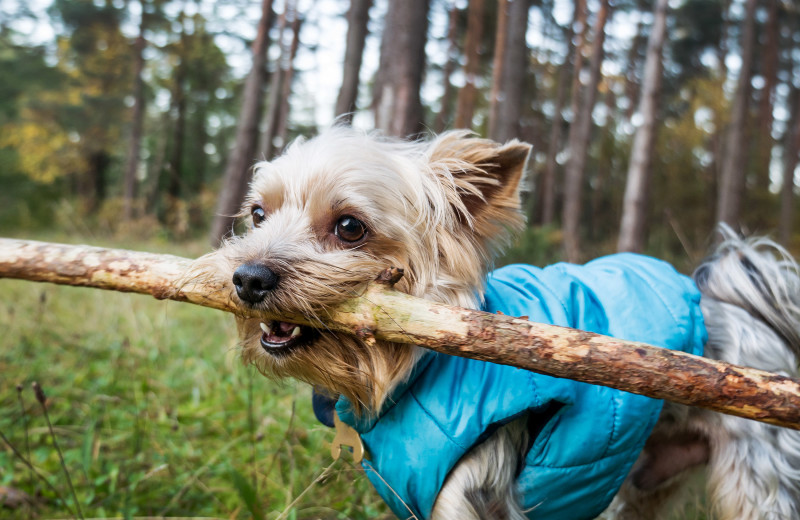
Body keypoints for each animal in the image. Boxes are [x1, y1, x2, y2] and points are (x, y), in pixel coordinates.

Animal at [209, 127, 800, 520]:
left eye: (350, 227)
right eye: (258, 214)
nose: (248, 278)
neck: (409, 374)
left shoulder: (464, 495)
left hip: (760, 477)